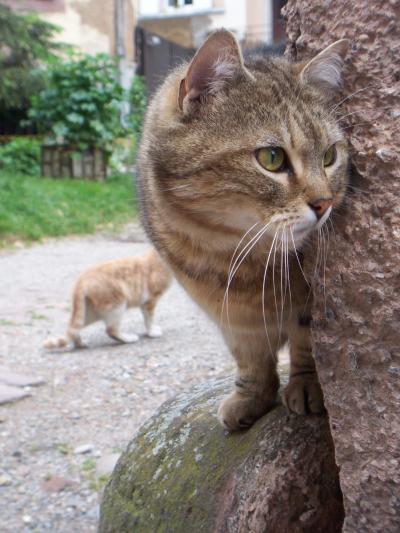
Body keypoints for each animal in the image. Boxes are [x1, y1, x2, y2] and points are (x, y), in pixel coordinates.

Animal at [43, 248, 172, 350]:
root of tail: (81, 281)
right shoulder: (149, 301)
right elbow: (149, 320)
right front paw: (151, 333)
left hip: (90, 313)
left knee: (74, 330)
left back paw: (81, 344)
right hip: (117, 306)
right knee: (111, 330)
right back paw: (128, 338)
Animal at [138, 29, 350, 430]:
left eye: (330, 156)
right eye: (272, 158)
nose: (324, 203)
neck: (232, 250)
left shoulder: (309, 303)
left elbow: (305, 340)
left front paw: (306, 384)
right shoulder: (230, 319)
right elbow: (250, 358)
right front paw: (252, 396)